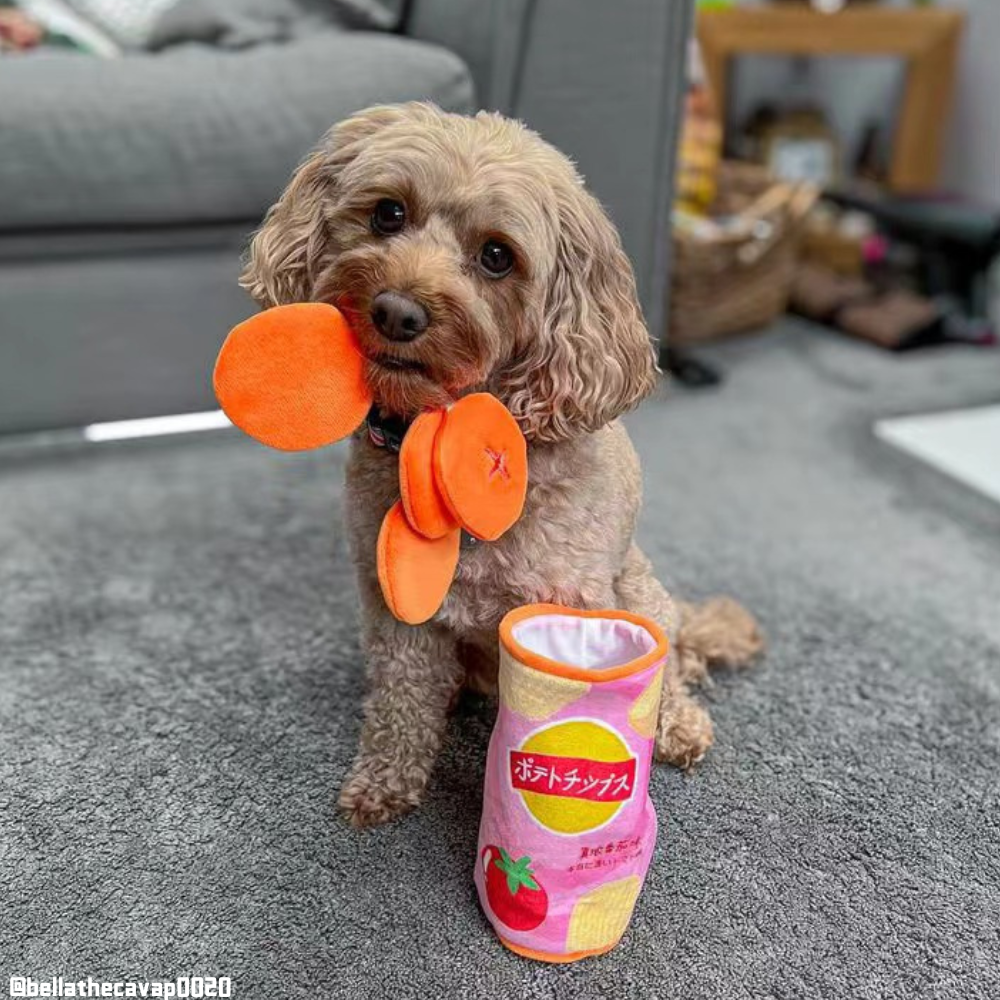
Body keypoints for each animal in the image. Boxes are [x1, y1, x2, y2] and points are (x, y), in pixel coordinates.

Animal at [238, 103, 760, 828]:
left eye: (496, 256)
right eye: (388, 213)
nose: (397, 311)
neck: (443, 439)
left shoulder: (569, 605)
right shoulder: (398, 611)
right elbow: (400, 701)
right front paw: (383, 784)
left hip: (639, 591)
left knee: (674, 669)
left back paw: (679, 723)